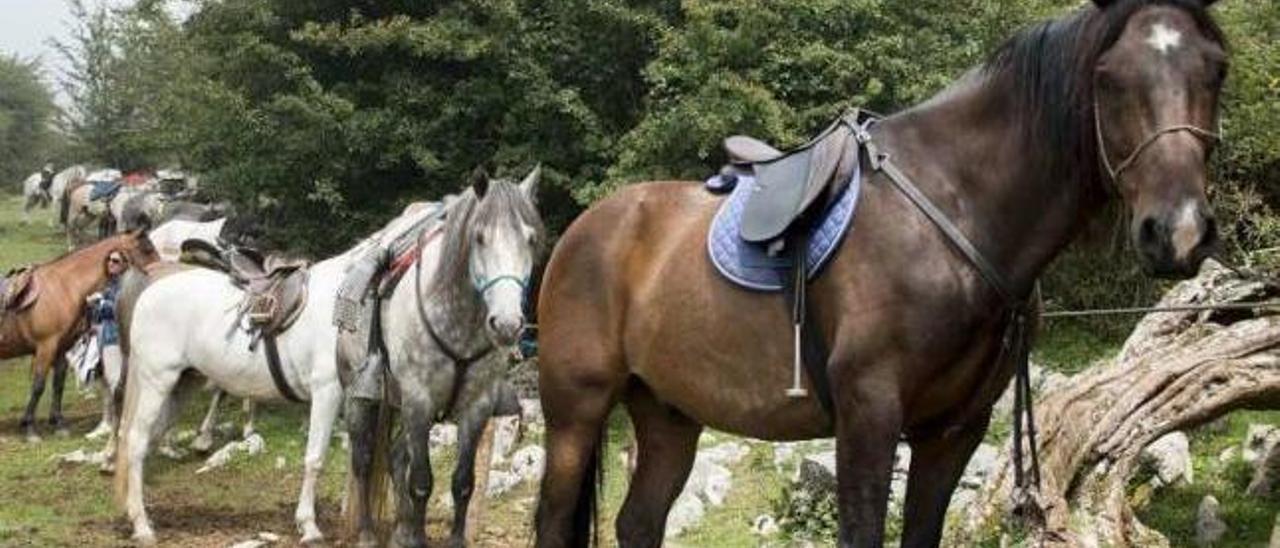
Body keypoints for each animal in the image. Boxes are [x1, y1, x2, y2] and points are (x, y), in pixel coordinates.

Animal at [0, 230, 160, 440]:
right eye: (147, 249)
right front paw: (30, 428)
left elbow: (58, 384)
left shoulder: (60, 348)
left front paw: (58, 424)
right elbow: (38, 385)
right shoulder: (45, 347)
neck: (64, 288)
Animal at [112, 192, 460, 542]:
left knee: (146, 441)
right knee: (136, 441)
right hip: (156, 382)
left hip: (183, 385)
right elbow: (317, 457)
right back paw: (142, 526)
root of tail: (148, 291)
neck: (355, 304)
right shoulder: (329, 393)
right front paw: (309, 526)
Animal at [532, 2, 1228, 545]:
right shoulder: (869, 413)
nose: (1177, 232)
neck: (956, 208)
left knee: (638, 523)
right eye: (1109, 78)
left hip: (668, 415)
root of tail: (584, 229)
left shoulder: (954, 430)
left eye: (1216, 69)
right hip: (575, 412)